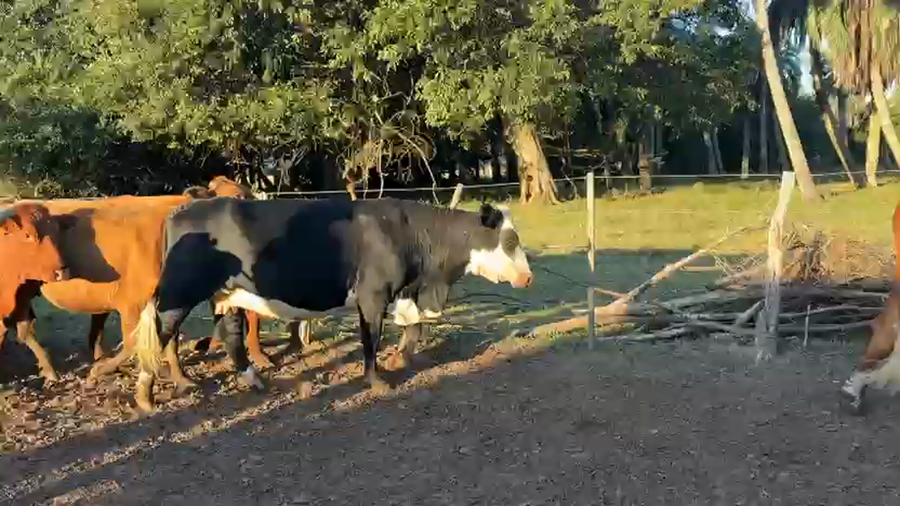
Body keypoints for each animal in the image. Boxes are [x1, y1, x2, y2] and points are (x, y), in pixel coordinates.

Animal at [0, 202, 71, 379]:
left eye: (56, 232)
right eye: (27, 235)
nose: (61, 272)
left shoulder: (21, 301)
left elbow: (24, 332)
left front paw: (50, 371)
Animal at [130, 197, 534, 412]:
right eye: (510, 239)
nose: (528, 278)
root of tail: (180, 211)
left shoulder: (403, 291)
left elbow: (414, 326)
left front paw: (399, 357)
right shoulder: (373, 294)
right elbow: (371, 339)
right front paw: (377, 380)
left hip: (227, 294)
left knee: (229, 336)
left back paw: (255, 379)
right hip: (178, 293)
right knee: (160, 334)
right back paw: (145, 396)